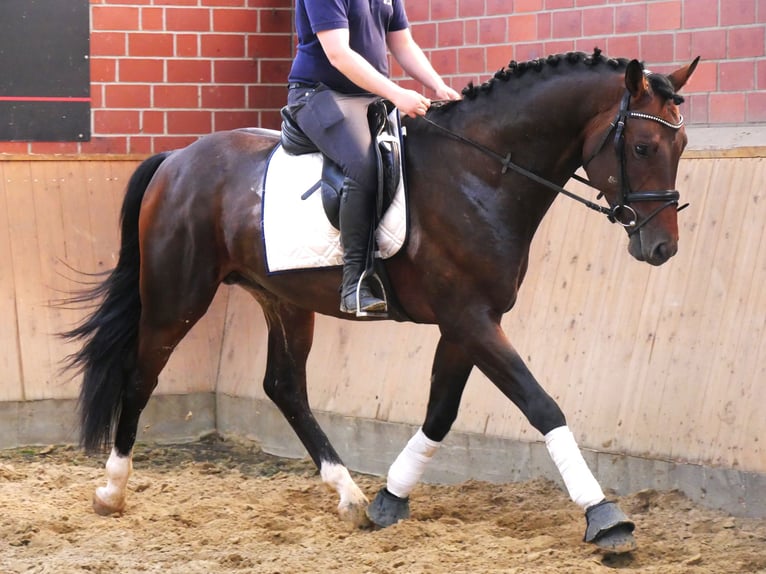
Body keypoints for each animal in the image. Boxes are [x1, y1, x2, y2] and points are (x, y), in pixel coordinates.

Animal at [64, 51, 704, 556]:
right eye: (642, 145)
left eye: (681, 143)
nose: (662, 247)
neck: (481, 173)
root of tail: (176, 158)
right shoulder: (470, 319)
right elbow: (541, 405)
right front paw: (605, 517)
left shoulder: (468, 323)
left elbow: (441, 412)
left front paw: (390, 498)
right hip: (178, 294)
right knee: (142, 374)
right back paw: (112, 489)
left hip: (283, 299)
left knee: (284, 387)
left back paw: (348, 495)